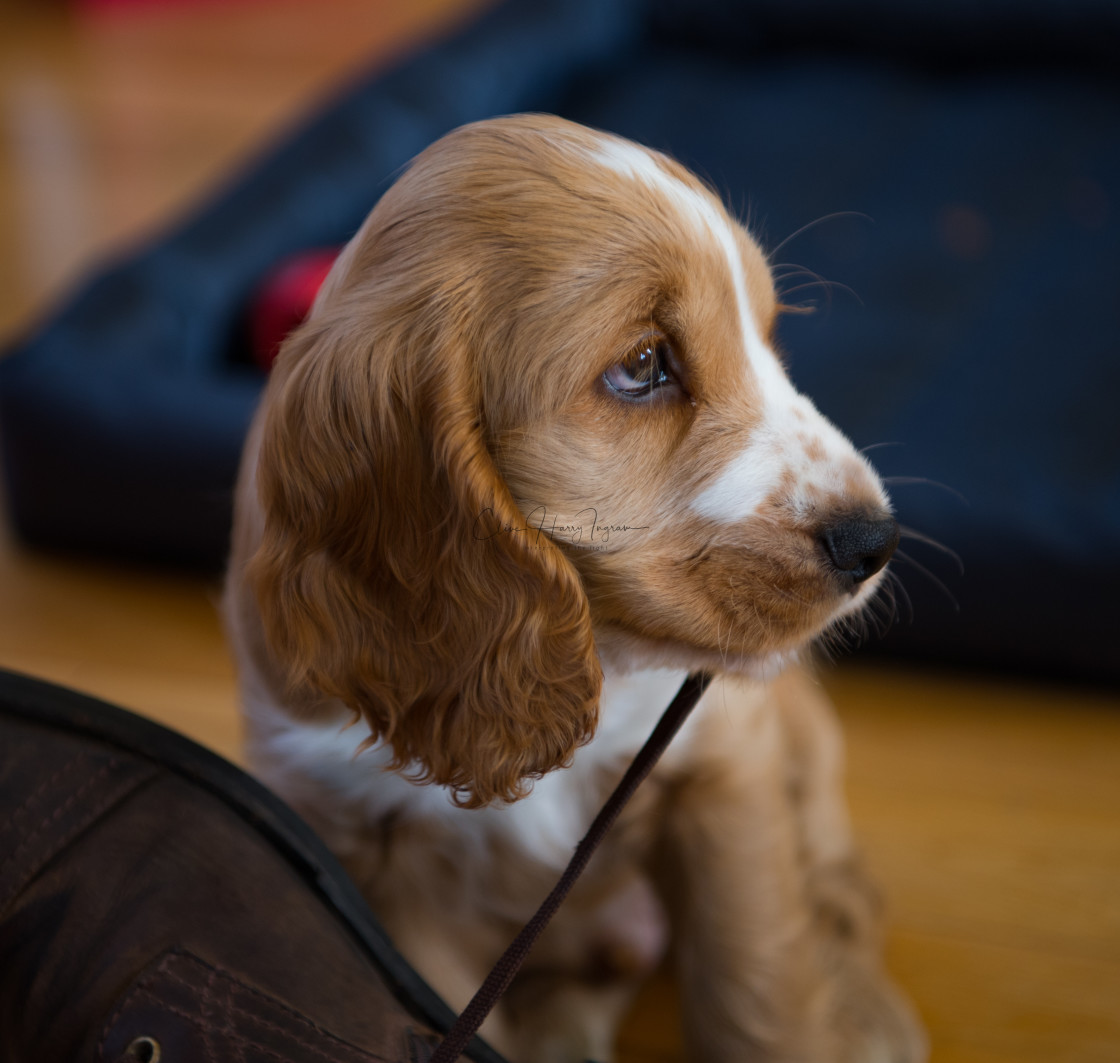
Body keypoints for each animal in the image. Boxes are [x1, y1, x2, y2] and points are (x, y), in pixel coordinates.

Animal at [225, 114, 927, 1061]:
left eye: (768, 336)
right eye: (642, 365)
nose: (875, 539)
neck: (598, 645)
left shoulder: (725, 765)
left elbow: (759, 983)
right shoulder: (378, 863)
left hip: (806, 749)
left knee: (836, 882)